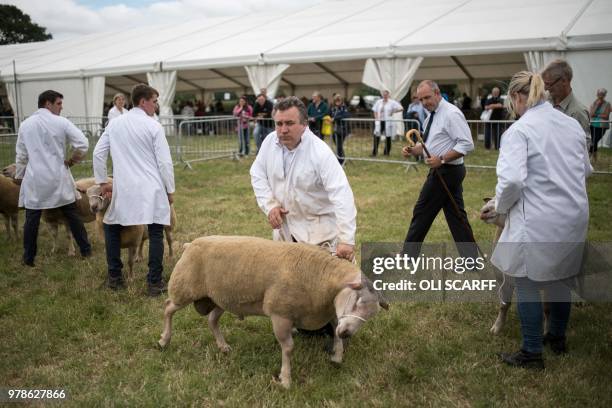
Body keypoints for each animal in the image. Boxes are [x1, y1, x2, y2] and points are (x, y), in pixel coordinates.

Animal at [158, 236, 388, 388]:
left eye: (370, 316)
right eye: (357, 300)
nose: (348, 333)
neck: (322, 278)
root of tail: (190, 244)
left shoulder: (331, 313)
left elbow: (335, 334)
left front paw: (337, 356)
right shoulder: (280, 314)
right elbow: (288, 348)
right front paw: (285, 379)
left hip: (220, 298)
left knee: (212, 320)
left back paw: (223, 347)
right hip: (184, 288)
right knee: (168, 307)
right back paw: (163, 340)